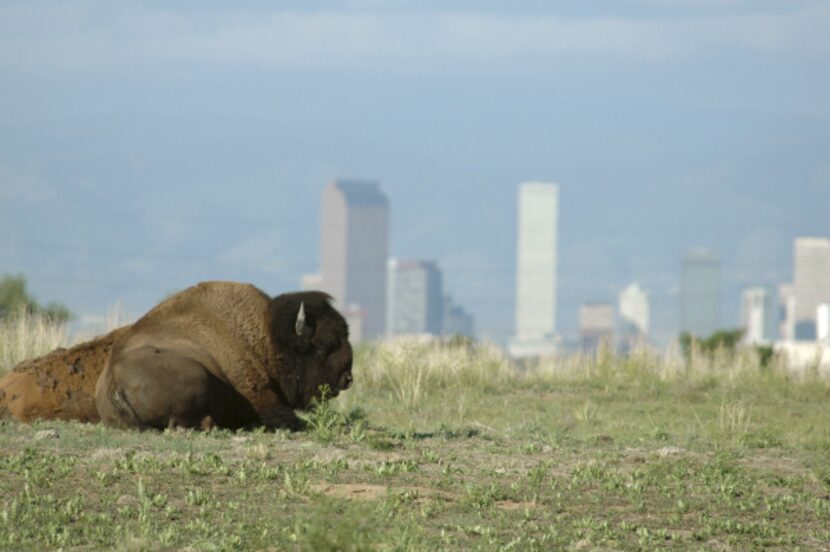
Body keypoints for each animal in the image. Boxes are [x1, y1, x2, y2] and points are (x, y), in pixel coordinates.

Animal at [0, 280, 354, 432]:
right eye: (324, 346)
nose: (347, 378)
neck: (266, 338)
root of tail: (114, 386)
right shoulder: (263, 399)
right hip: (196, 375)